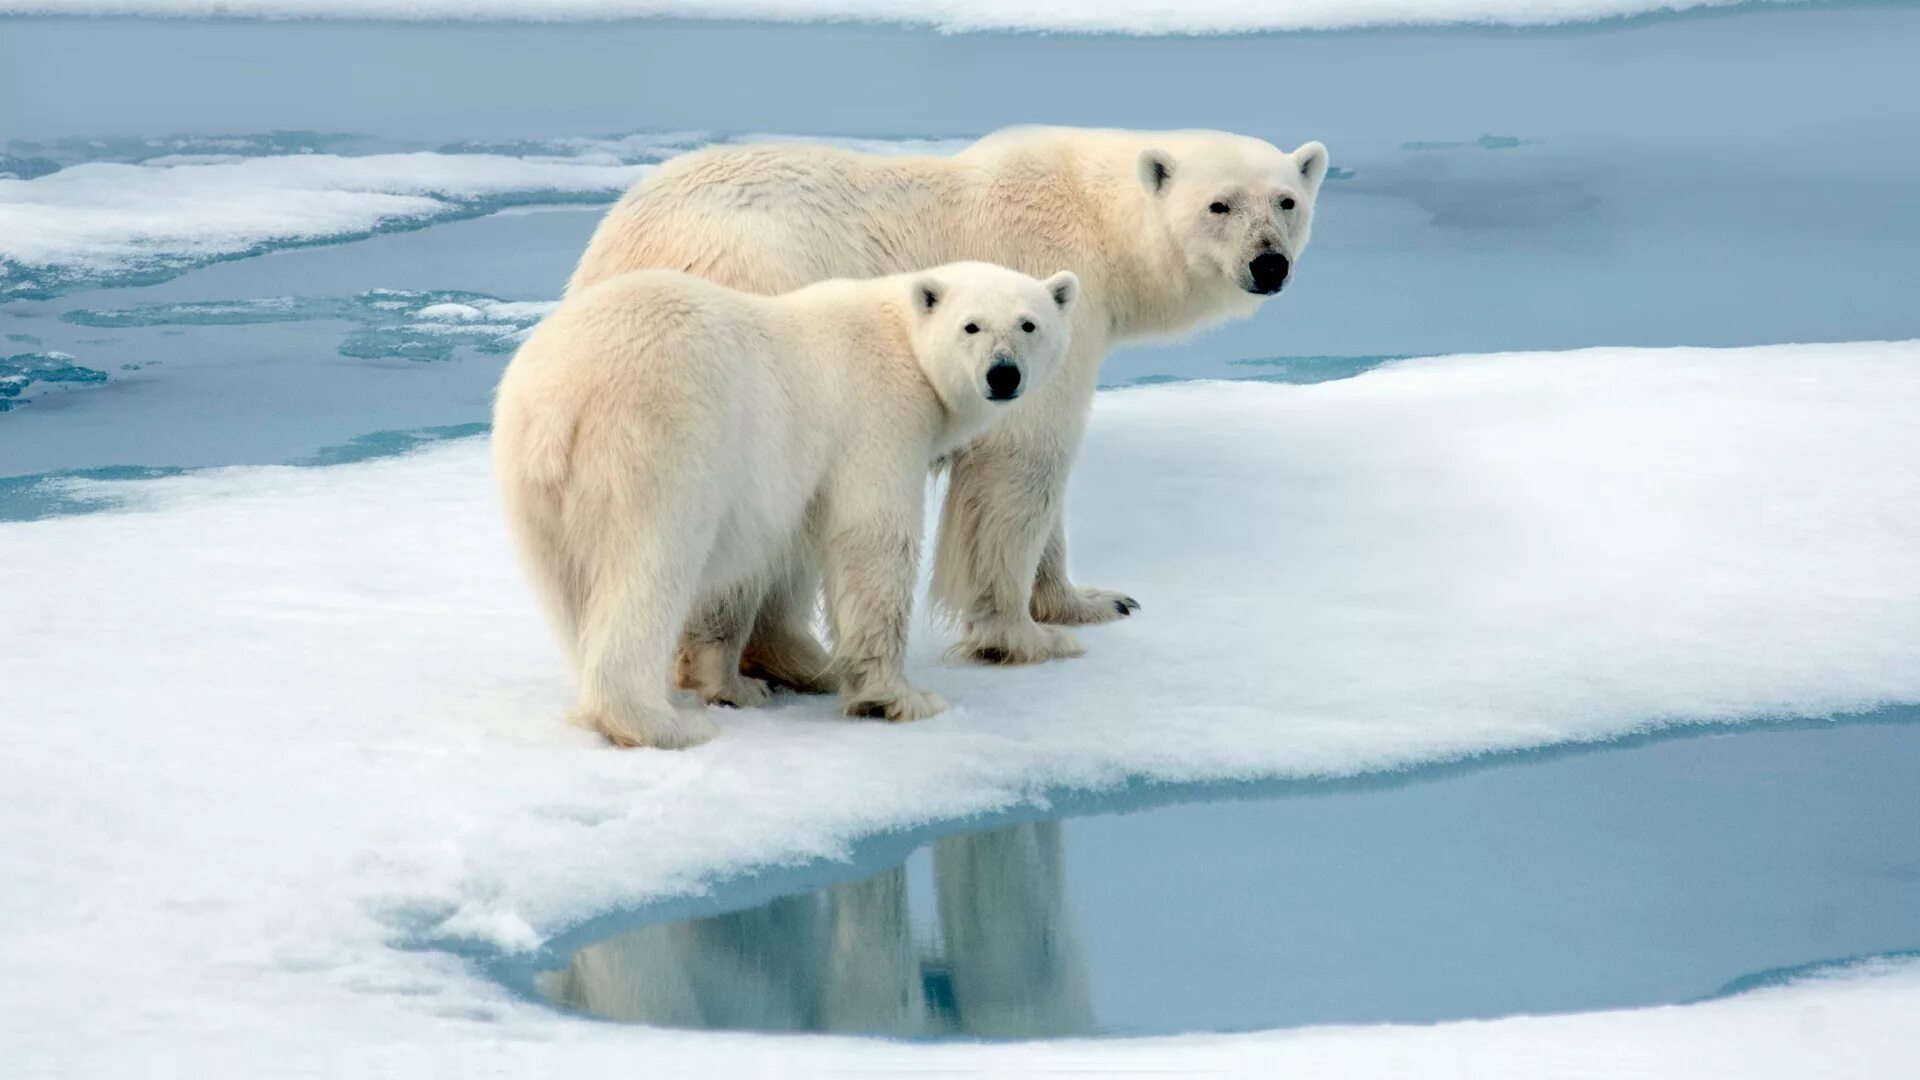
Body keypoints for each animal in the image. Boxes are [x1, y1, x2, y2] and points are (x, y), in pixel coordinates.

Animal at [491, 261, 1082, 749]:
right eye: (971, 326)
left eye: (1028, 324)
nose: (1003, 374)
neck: (900, 336)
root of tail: (559, 401)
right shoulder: (878, 414)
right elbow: (873, 540)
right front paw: (897, 698)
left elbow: (765, 563)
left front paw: (741, 683)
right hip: (655, 444)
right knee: (651, 566)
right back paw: (662, 724)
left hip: (530, 480)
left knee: (567, 592)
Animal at [560, 125, 1328, 680]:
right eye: (1219, 204)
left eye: (1286, 201)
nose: (1269, 263)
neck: (1094, 217)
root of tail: (617, 251)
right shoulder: (1035, 291)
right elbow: (1021, 462)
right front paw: (1021, 636)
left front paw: (1090, 601)